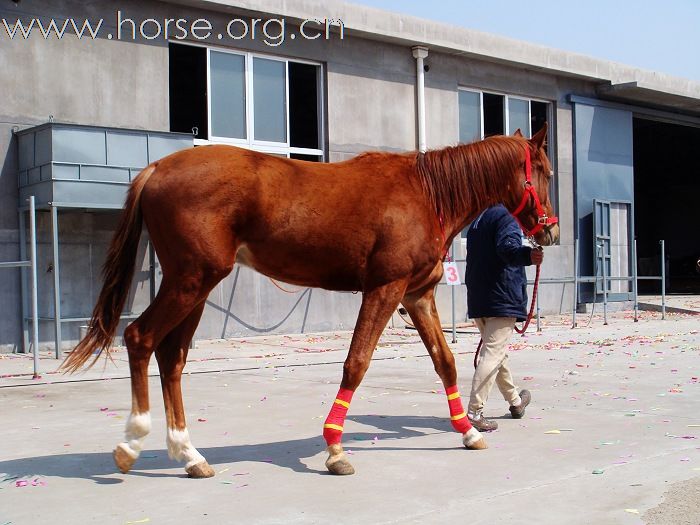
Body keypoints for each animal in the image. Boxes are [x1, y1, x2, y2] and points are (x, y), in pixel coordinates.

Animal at [63, 125, 560, 476]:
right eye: (547, 172)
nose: (550, 233)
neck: (426, 192)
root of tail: (157, 169)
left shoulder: (417, 295)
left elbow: (446, 362)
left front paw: (468, 431)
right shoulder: (385, 288)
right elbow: (356, 363)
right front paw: (335, 448)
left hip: (196, 286)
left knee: (172, 357)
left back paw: (189, 454)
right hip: (190, 280)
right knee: (140, 337)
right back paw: (131, 443)